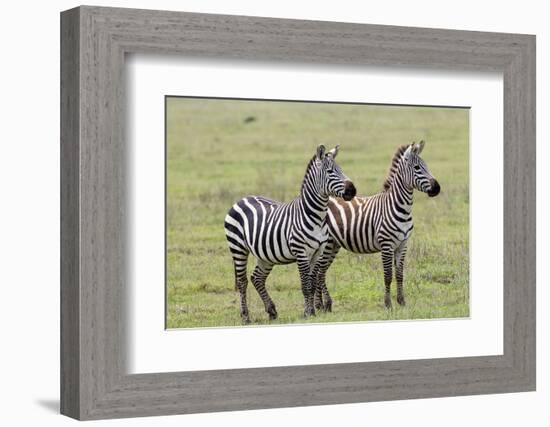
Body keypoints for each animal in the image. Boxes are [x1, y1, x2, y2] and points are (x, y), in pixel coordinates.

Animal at [224, 145, 358, 322]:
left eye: (341, 170)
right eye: (330, 171)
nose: (352, 190)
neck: (316, 216)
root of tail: (242, 199)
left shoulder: (318, 252)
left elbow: (312, 283)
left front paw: (312, 311)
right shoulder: (301, 252)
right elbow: (305, 285)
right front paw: (307, 312)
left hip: (265, 254)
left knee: (257, 278)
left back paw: (272, 311)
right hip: (238, 248)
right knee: (242, 281)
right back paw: (245, 316)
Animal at [316, 140, 442, 310]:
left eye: (426, 166)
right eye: (417, 168)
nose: (437, 188)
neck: (400, 207)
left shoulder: (402, 244)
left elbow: (400, 274)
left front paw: (402, 302)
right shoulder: (386, 245)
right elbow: (388, 275)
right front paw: (388, 304)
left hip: (333, 244)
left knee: (320, 272)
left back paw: (323, 305)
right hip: (326, 244)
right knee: (318, 272)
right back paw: (320, 305)